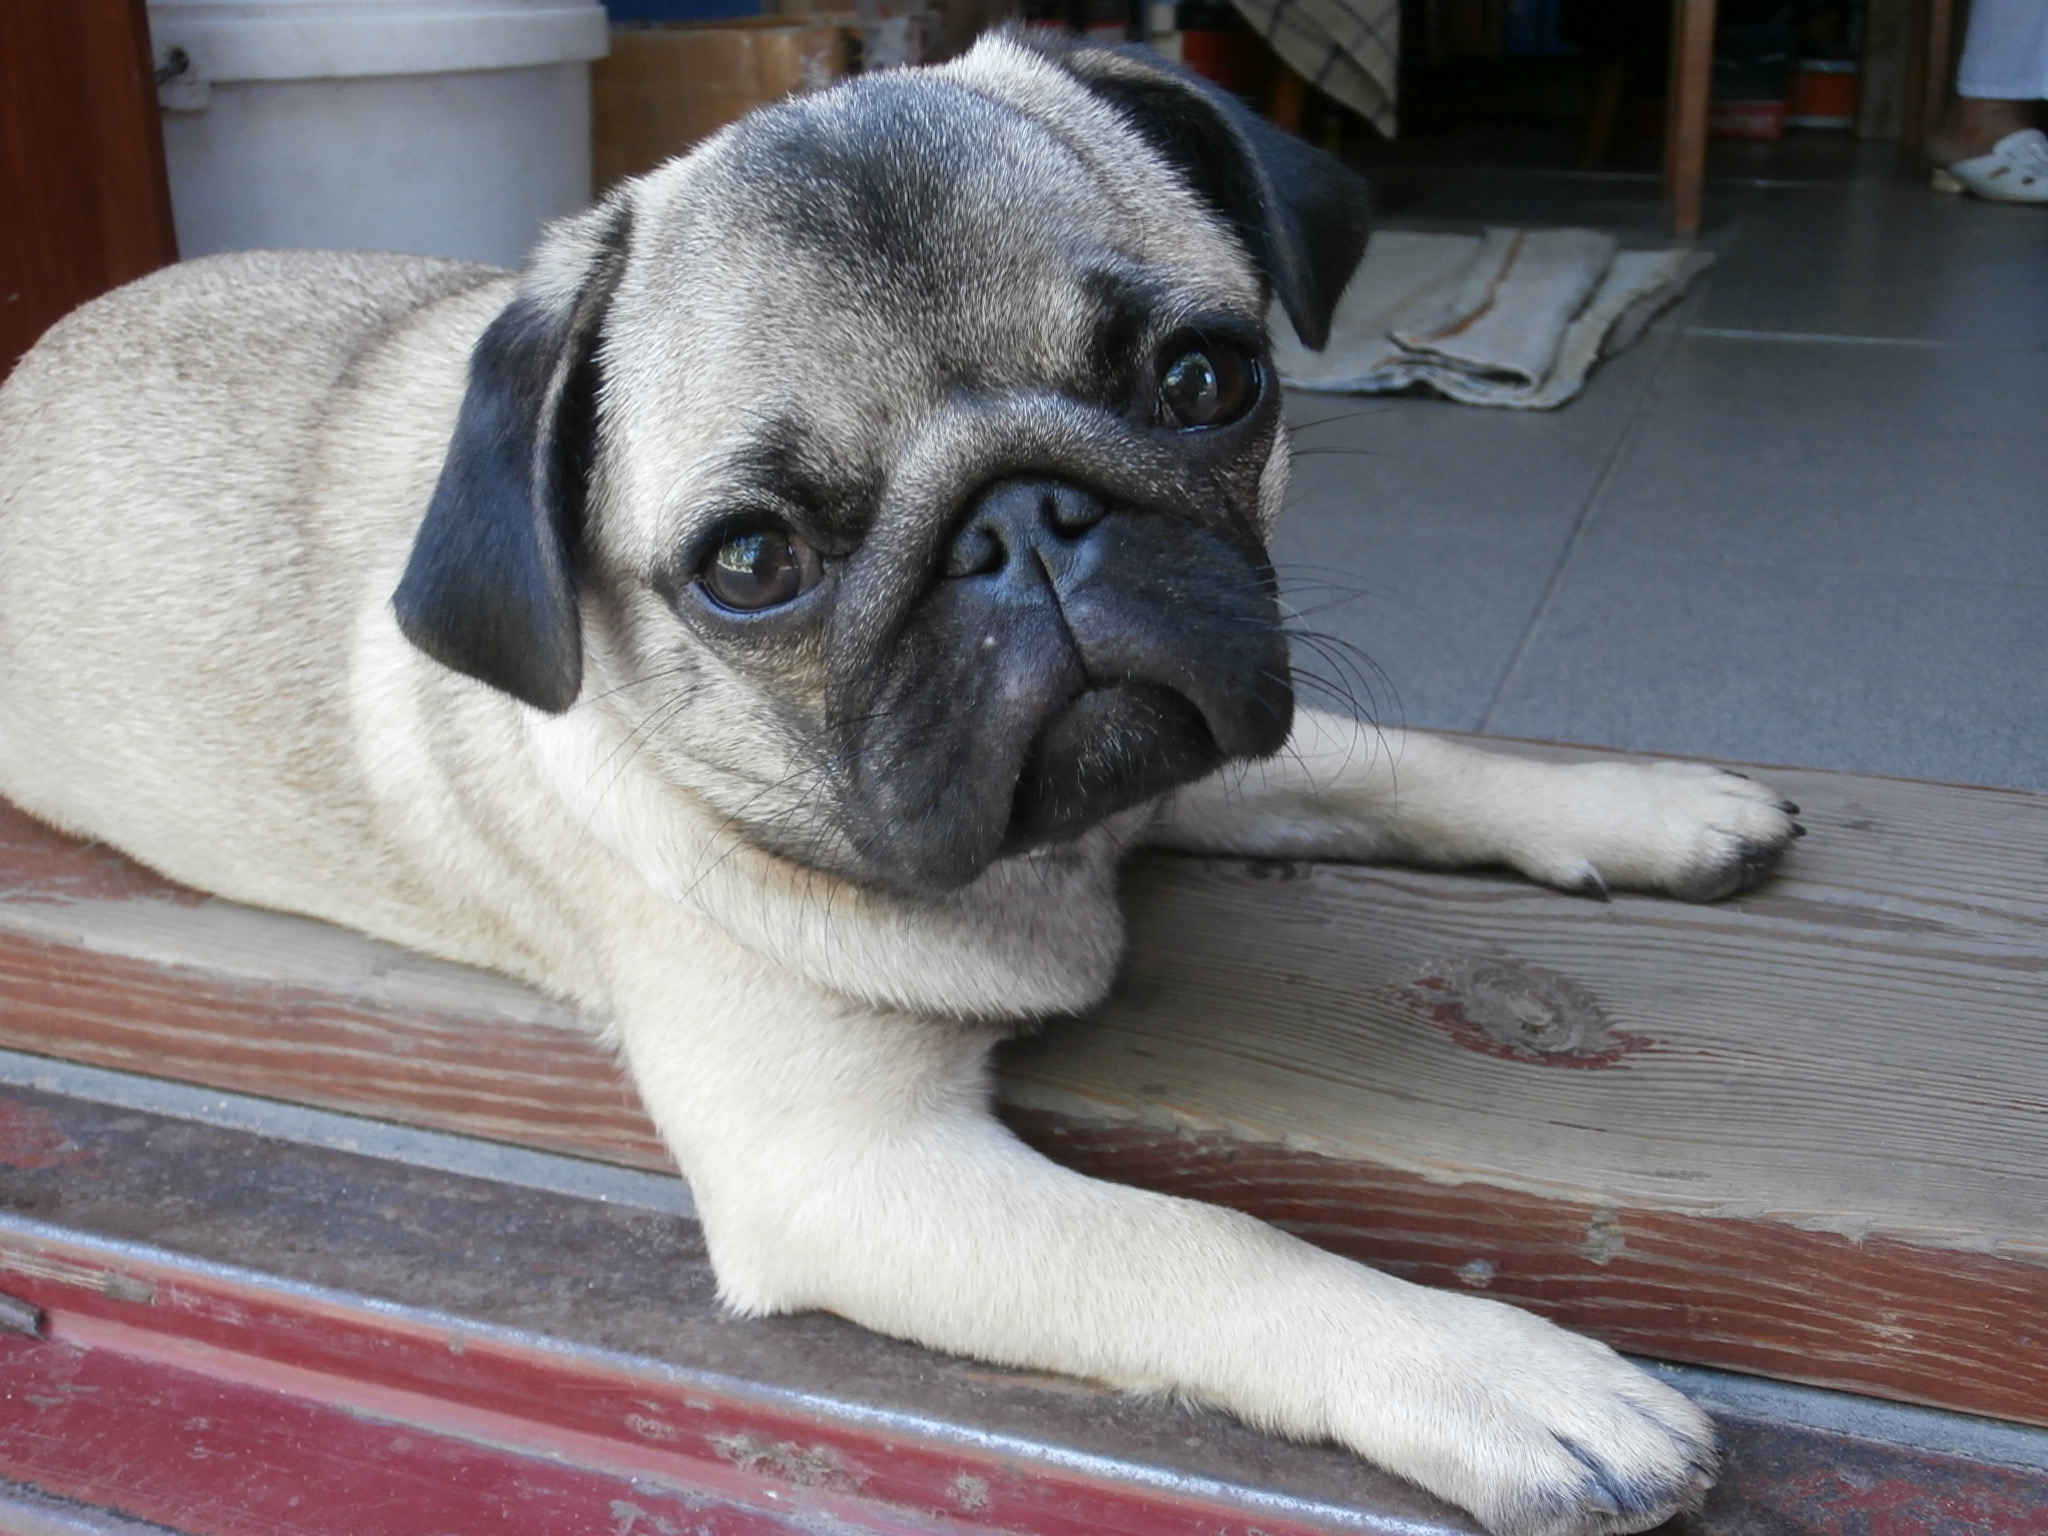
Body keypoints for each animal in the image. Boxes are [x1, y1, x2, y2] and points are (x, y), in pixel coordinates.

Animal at [0, 34, 1800, 1536]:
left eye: (1205, 380)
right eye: (749, 566)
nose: (1021, 525)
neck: (1043, 859)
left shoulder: (1191, 754)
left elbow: (1397, 765)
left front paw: (1643, 808)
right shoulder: (852, 1177)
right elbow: (1199, 1243)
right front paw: (1503, 1377)